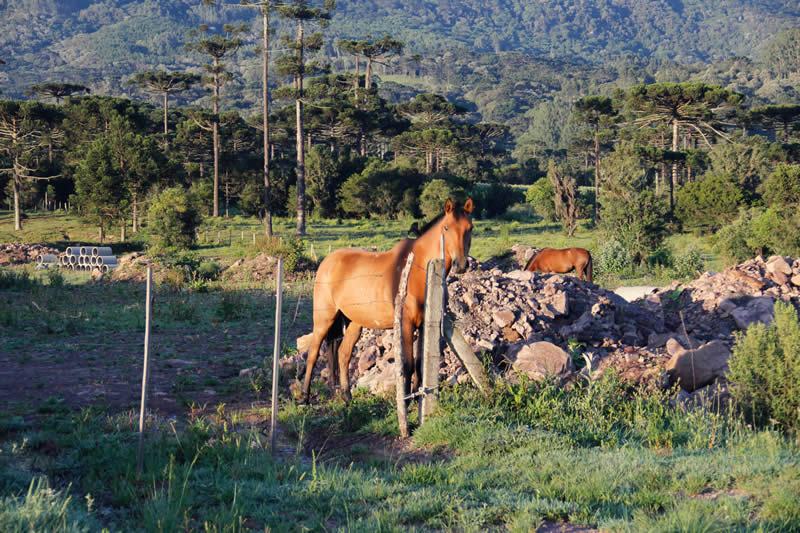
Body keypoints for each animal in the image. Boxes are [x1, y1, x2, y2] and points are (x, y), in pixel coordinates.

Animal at [304, 197, 472, 402]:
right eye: (446, 228)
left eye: (470, 227)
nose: (461, 264)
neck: (417, 270)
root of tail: (327, 262)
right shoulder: (405, 324)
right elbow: (407, 365)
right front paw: (406, 399)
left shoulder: (423, 325)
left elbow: (419, 363)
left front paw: (418, 397)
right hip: (324, 319)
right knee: (313, 354)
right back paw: (303, 397)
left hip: (354, 322)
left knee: (343, 354)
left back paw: (346, 396)